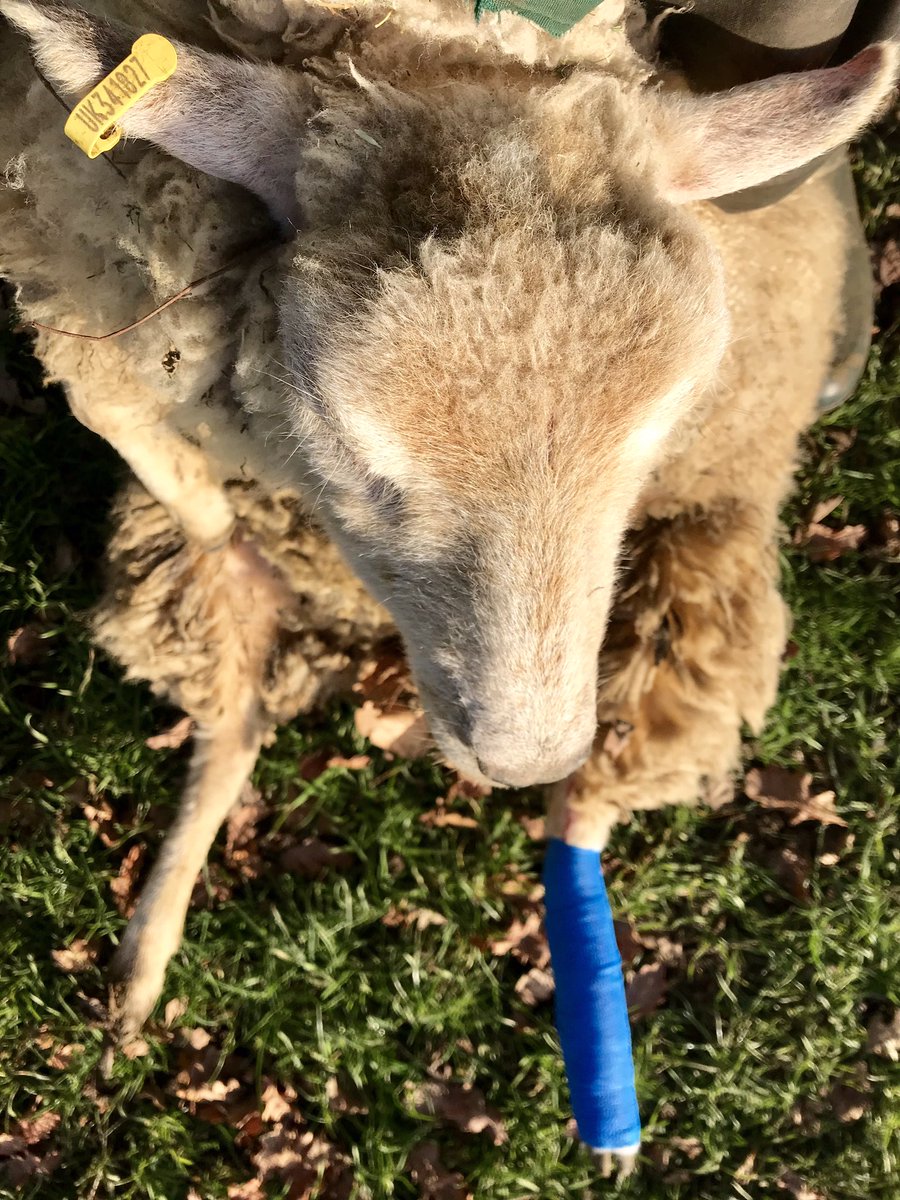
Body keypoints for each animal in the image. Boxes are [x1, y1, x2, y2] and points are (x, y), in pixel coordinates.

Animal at [1, 0, 896, 1102]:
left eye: (659, 429)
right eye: (345, 438)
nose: (524, 755)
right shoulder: (89, 322)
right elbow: (172, 482)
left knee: (595, 798)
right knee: (233, 695)